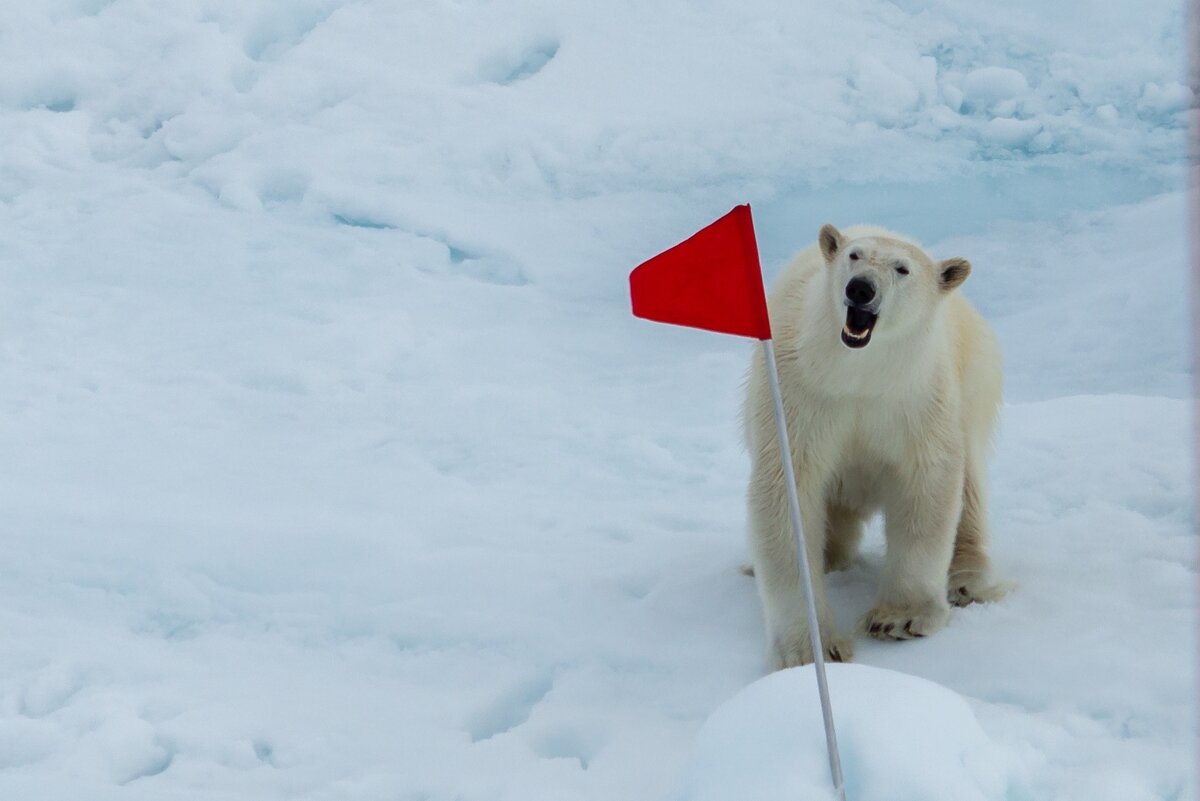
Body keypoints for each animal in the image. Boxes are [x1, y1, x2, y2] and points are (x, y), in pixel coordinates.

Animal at [744, 221, 1008, 666]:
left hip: (974, 380)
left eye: (902, 268)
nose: (861, 289)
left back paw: (967, 580)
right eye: (854, 256)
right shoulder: (802, 395)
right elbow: (789, 487)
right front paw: (810, 647)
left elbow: (926, 482)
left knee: (969, 479)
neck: (860, 371)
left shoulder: (916, 398)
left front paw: (900, 619)